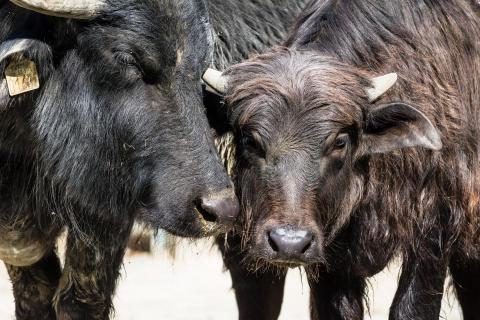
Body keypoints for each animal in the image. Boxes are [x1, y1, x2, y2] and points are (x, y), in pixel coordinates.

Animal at [0, 1, 240, 318]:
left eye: (200, 68)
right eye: (127, 59)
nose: (221, 209)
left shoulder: (107, 205)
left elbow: (78, 301)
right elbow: (33, 296)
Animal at [206, 0, 480, 320]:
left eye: (339, 141)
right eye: (250, 140)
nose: (289, 243)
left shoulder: (434, 229)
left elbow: (411, 308)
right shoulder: (331, 256)